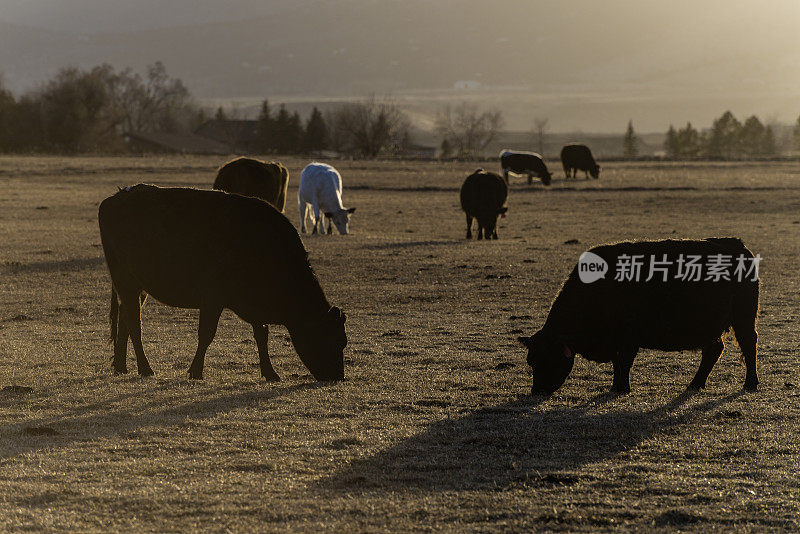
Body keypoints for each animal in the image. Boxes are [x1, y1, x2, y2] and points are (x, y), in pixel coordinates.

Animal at [98, 186, 346, 384]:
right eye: (333, 340)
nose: (337, 378)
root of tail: (117, 196)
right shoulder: (212, 298)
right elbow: (207, 334)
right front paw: (195, 371)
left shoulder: (254, 305)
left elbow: (261, 335)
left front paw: (270, 373)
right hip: (125, 280)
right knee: (134, 322)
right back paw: (145, 368)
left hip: (136, 286)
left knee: (125, 318)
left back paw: (121, 366)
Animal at [520, 241, 760, 396]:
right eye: (531, 361)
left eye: (548, 358)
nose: (537, 391)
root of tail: (738, 246)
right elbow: (617, 364)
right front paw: (615, 387)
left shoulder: (628, 339)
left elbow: (624, 363)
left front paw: (622, 389)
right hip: (712, 327)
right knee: (714, 350)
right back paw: (696, 384)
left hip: (743, 319)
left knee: (748, 344)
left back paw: (750, 383)